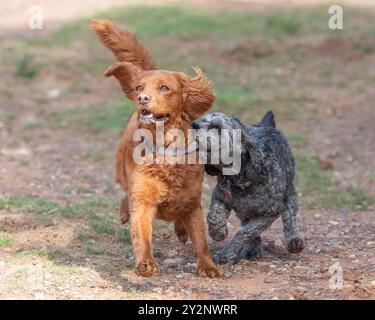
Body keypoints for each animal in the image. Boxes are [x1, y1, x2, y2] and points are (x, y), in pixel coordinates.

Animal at [194, 111, 306, 264]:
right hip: (245, 212)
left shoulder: (269, 213)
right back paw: (253, 249)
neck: (240, 179)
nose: (193, 124)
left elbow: (245, 232)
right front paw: (219, 232)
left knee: (290, 216)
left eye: (217, 127)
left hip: (289, 193)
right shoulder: (220, 197)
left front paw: (227, 254)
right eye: (202, 120)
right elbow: (213, 216)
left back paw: (293, 241)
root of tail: (265, 126)